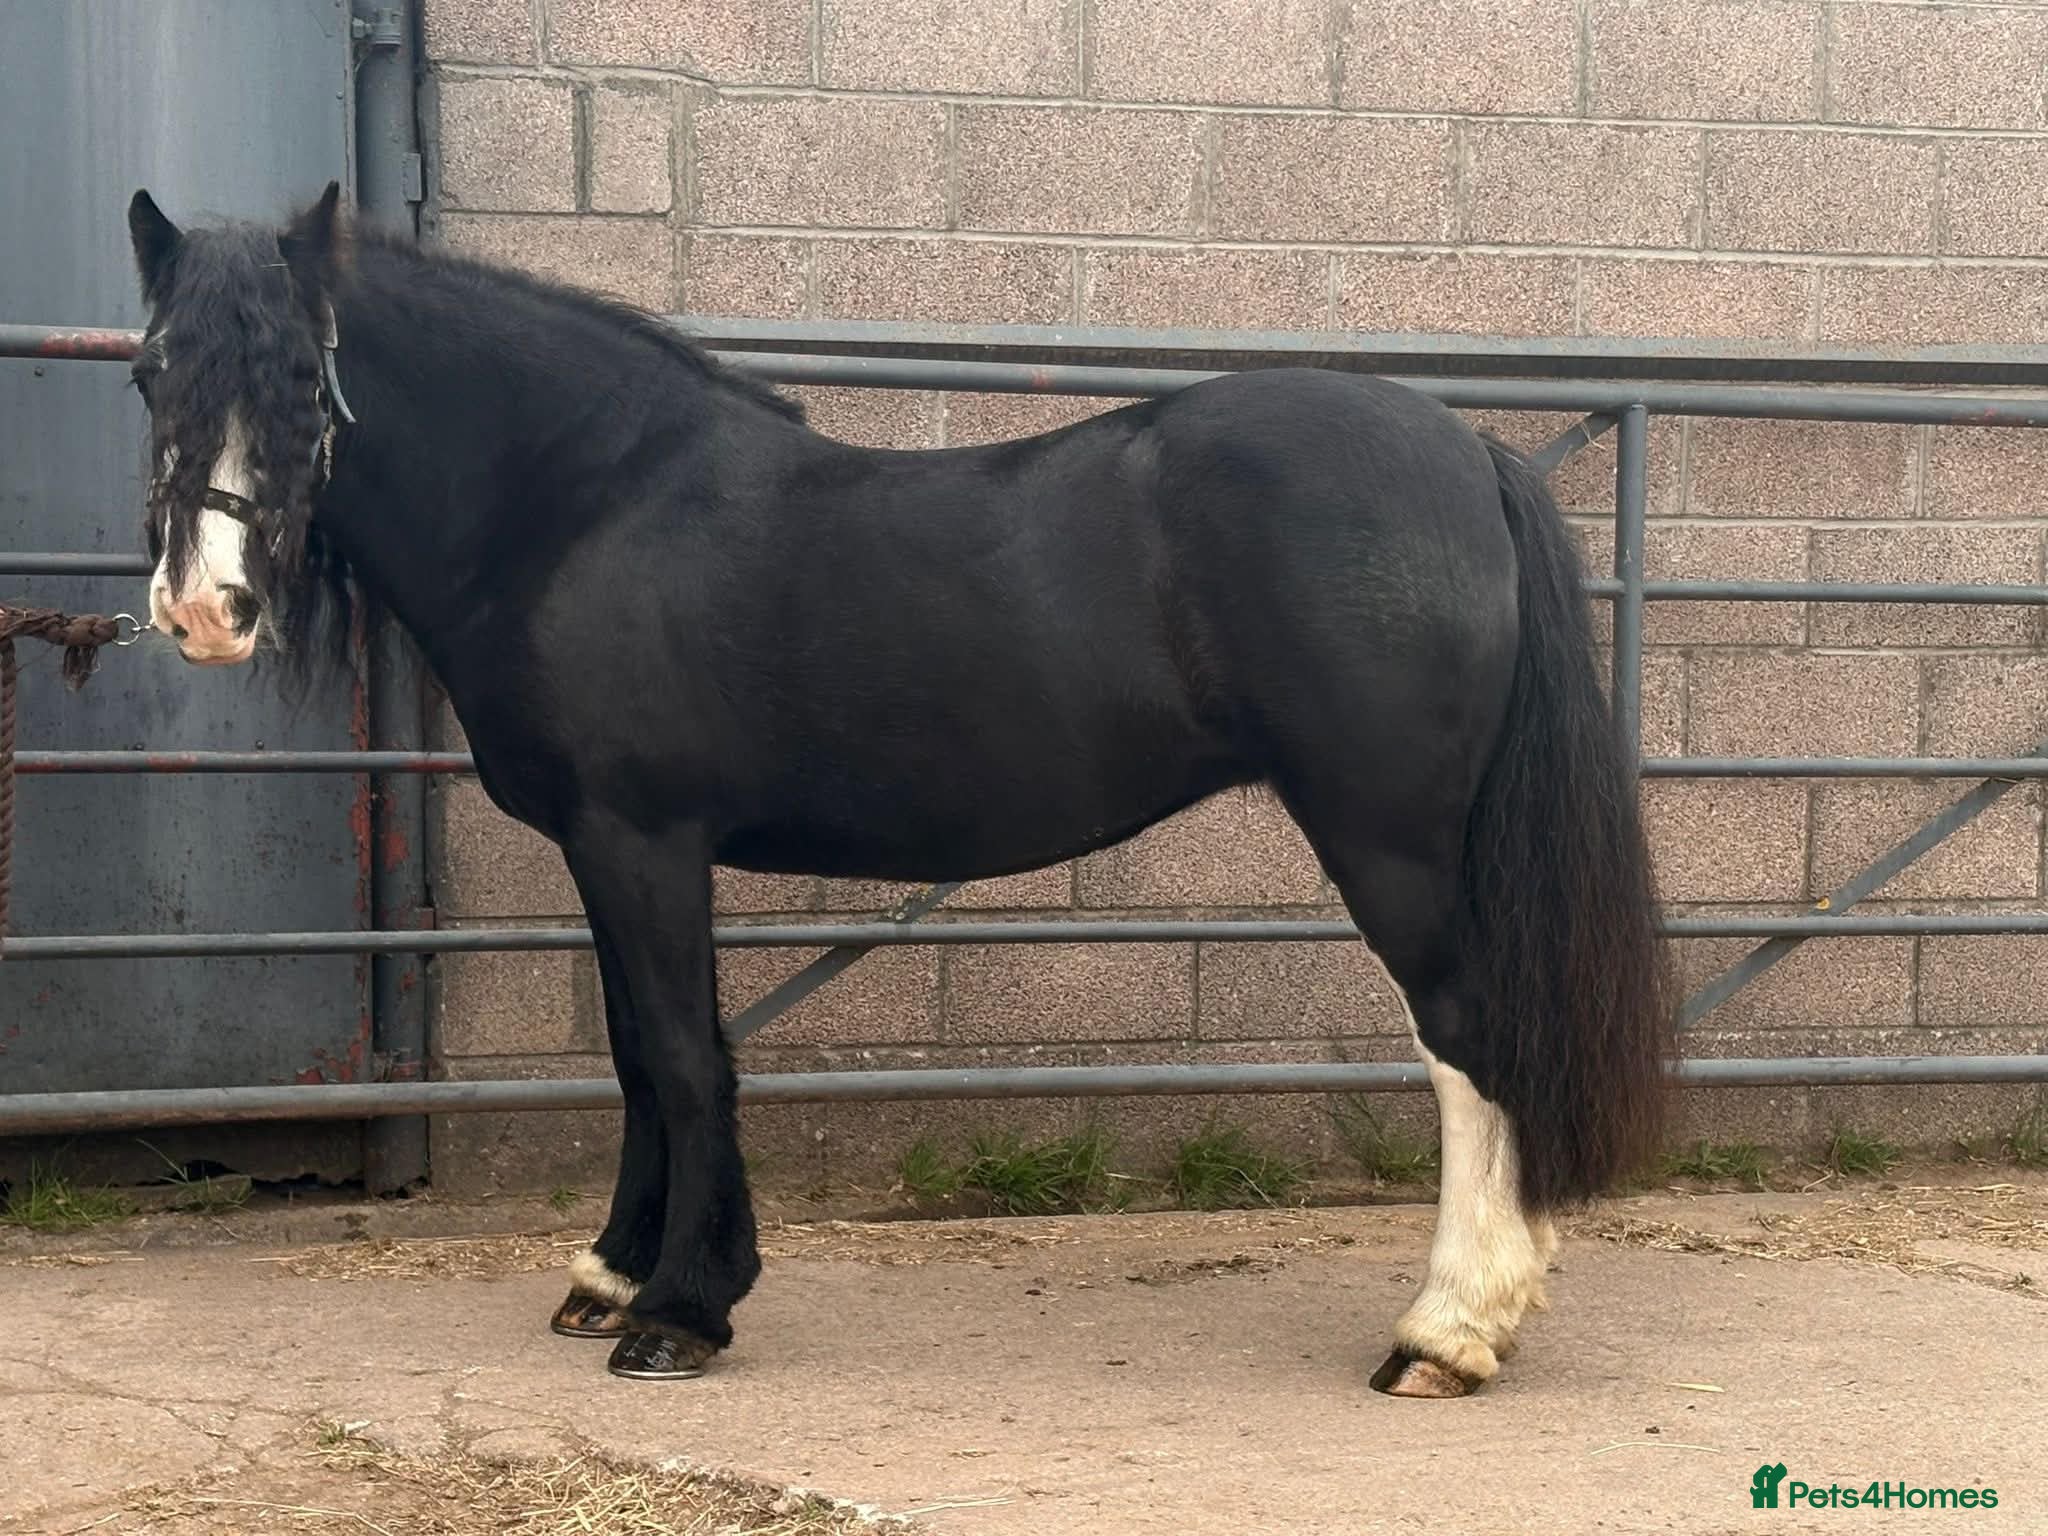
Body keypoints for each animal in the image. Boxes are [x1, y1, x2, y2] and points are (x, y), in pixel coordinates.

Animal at [124, 182, 1673, 1396]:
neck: (586, 505)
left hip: (1390, 841)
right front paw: (613, 1274)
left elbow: (682, 1056)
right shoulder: (601, 847)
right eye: (148, 374)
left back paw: (1446, 1332)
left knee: (1465, 1039)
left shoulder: (643, 838)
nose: (204, 608)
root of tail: (1465, 451)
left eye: (301, 379)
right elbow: (631, 1051)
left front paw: (681, 1314)